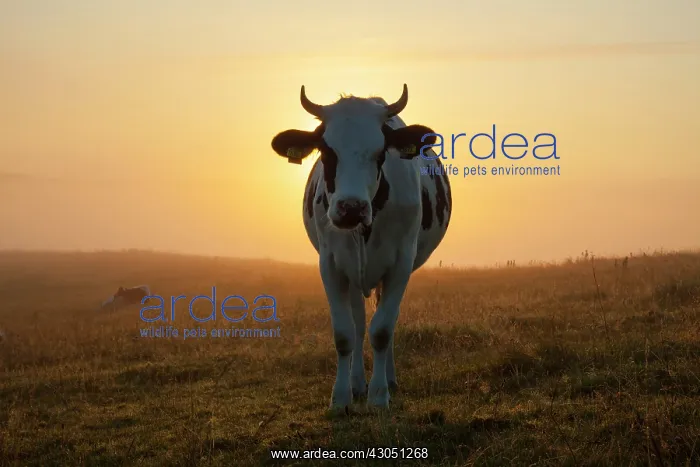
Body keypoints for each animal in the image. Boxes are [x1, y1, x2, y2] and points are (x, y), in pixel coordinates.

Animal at [270, 84, 452, 410]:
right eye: (326, 151)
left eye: (380, 153)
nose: (351, 208)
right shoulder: (330, 265)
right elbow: (345, 333)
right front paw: (341, 397)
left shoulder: (400, 265)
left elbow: (382, 330)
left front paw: (379, 395)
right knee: (357, 322)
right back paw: (357, 383)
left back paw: (388, 380)